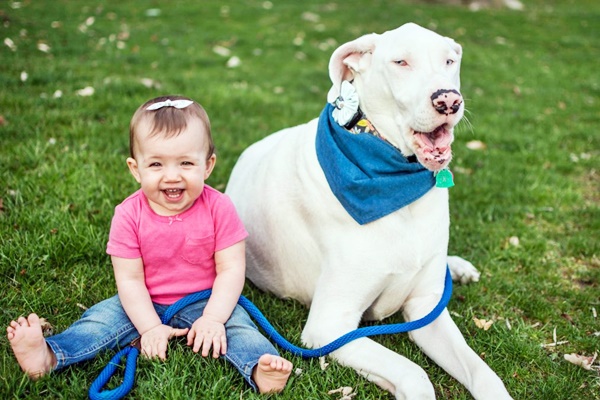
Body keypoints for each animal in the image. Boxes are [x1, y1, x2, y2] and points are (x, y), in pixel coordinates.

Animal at [225, 22, 510, 400]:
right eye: (401, 62)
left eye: (449, 61)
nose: (448, 100)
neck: (396, 184)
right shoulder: (330, 328)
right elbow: (414, 373)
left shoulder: (427, 310)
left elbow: (483, 373)